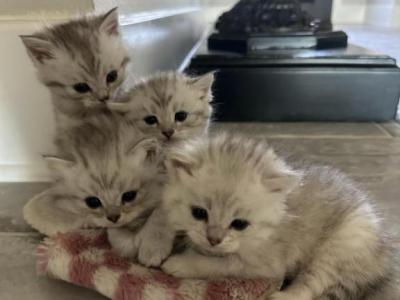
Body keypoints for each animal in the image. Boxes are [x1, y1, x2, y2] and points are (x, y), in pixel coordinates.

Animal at [160, 135, 400, 300]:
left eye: (239, 224)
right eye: (198, 213)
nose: (213, 239)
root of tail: (384, 258)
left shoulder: (263, 265)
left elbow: (218, 264)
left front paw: (181, 263)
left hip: (337, 248)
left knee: (312, 284)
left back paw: (283, 296)